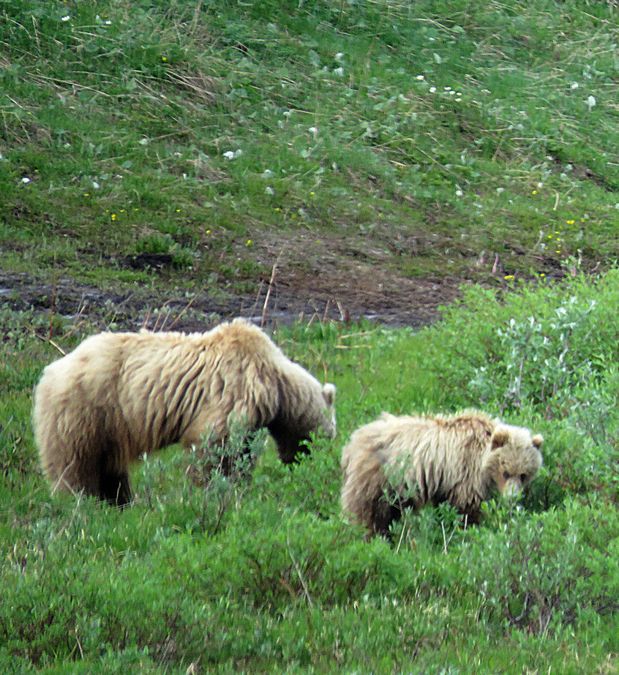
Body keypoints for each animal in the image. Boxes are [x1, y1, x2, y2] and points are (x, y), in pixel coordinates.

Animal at [33, 320, 336, 504]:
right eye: (328, 435)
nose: (306, 463)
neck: (275, 382)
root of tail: (51, 369)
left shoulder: (251, 416)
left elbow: (241, 452)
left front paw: (238, 484)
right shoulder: (235, 389)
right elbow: (211, 445)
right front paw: (211, 489)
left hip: (108, 425)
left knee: (109, 468)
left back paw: (119, 501)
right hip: (86, 409)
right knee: (75, 463)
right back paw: (79, 500)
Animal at [342, 410, 544, 536]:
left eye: (523, 474)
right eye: (506, 472)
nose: (513, 498)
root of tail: (351, 443)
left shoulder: (447, 481)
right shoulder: (466, 472)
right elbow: (467, 508)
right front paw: (469, 530)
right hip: (378, 479)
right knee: (370, 514)